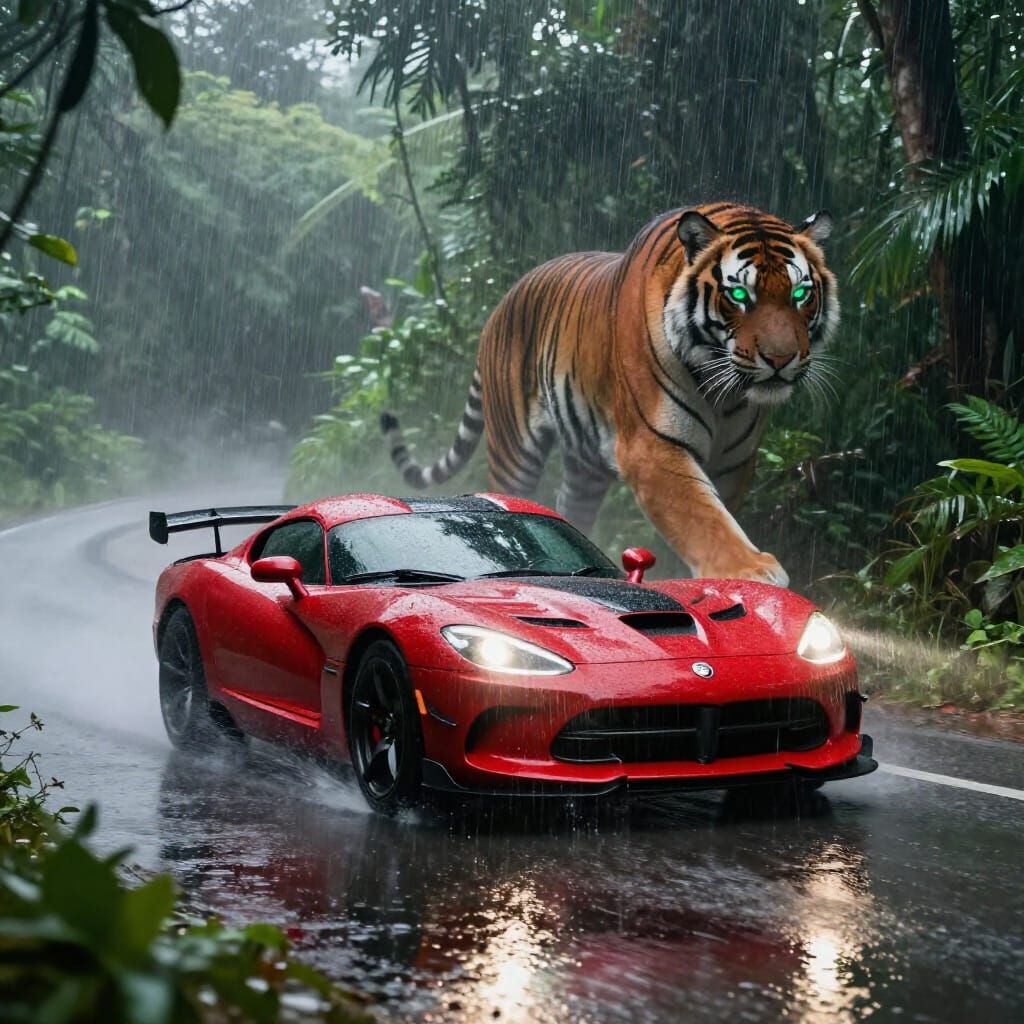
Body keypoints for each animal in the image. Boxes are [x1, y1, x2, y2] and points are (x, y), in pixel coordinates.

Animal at [380, 203, 839, 585]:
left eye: (800, 293)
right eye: (740, 295)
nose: (780, 359)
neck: (726, 396)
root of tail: (498, 307)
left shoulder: (735, 462)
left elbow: (717, 512)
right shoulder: (650, 447)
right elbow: (700, 516)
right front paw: (749, 569)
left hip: (585, 464)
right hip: (514, 450)